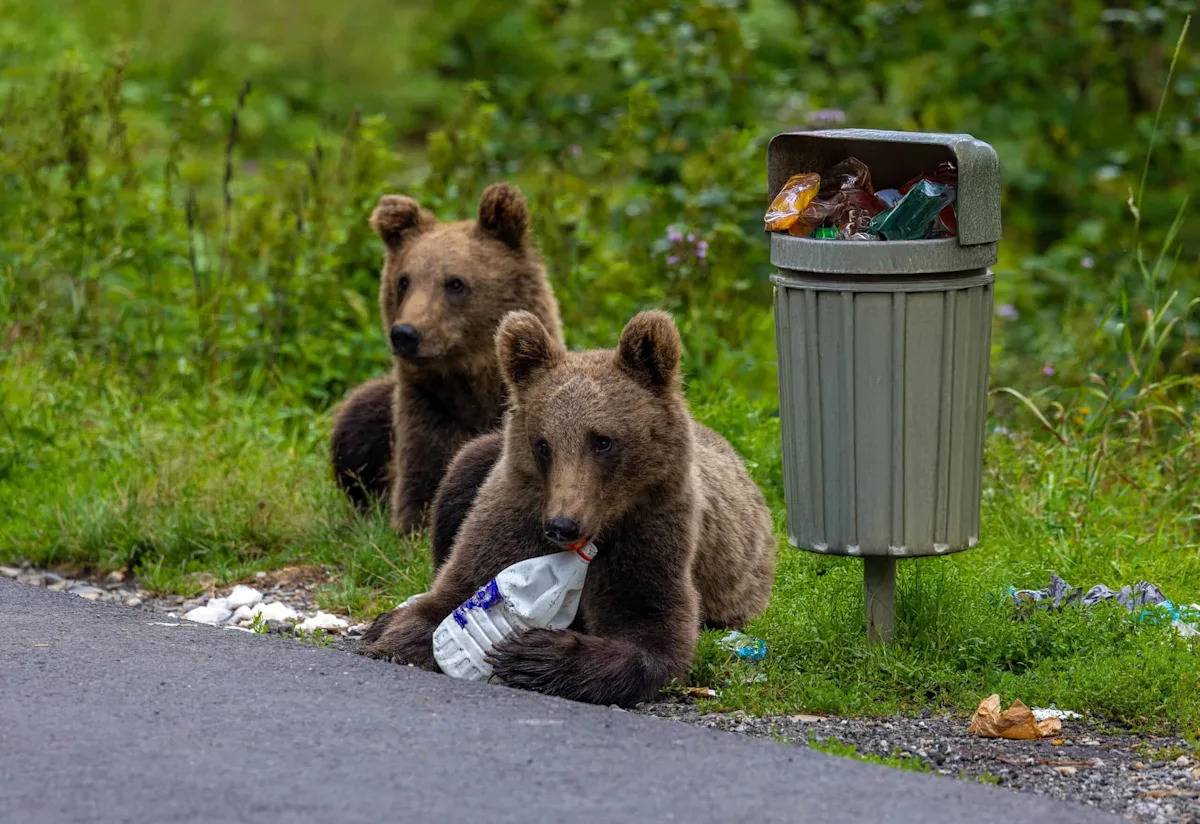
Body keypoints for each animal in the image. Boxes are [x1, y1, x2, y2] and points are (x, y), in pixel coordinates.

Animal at [330, 183, 563, 535]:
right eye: (403, 281)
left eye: (455, 282)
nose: (405, 333)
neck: (473, 384)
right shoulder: (427, 410)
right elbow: (422, 486)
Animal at [360, 309, 776, 707]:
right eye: (543, 444)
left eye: (603, 440)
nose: (563, 524)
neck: (595, 535)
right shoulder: (513, 514)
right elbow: (453, 591)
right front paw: (395, 639)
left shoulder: (651, 533)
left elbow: (653, 633)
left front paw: (532, 654)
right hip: (476, 461)